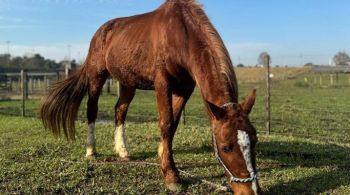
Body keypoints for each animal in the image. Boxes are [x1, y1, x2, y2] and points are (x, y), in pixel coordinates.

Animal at [39, 0, 262, 193]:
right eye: (225, 147)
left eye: (255, 139)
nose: (251, 190)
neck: (180, 34)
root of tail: (101, 31)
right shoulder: (162, 83)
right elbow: (166, 123)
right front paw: (171, 176)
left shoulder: (185, 88)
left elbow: (173, 123)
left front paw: (163, 154)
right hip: (97, 76)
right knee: (92, 110)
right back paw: (91, 151)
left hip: (127, 82)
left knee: (120, 110)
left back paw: (123, 151)